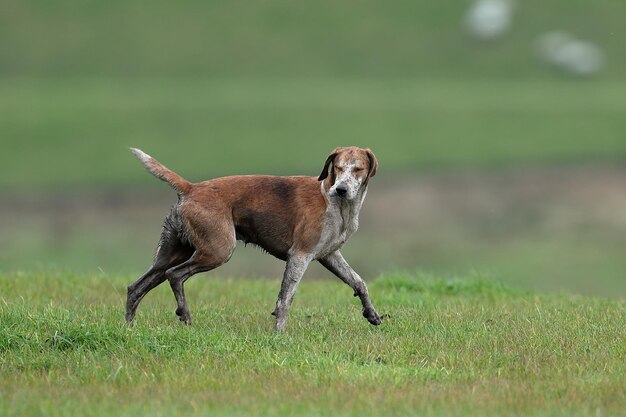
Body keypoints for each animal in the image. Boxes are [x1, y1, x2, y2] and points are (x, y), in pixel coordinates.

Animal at [125, 146, 382, 332]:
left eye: (358, 169)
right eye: (337, 168)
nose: (341, 189)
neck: (334, 202)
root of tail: (191, 188)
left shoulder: (329, 255)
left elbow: (359, 282)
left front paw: (372, 314)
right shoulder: (300, 256)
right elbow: (285, 299)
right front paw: (279, 333)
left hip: (170, 255)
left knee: (136, 287)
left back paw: (129, 326)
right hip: (217, 251)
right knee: (175, 275)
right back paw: (185, 316)